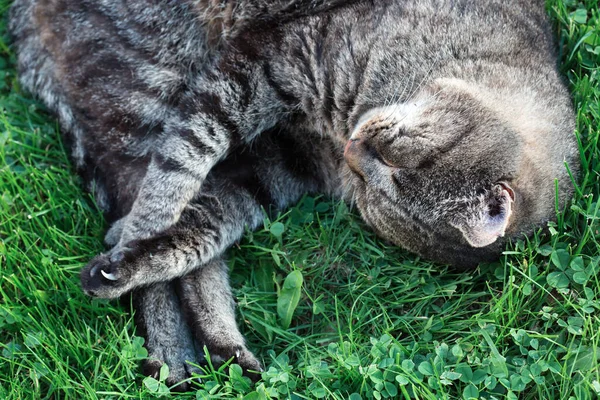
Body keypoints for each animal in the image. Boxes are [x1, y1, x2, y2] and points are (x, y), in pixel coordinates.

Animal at [9, 0, 580, 390]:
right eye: (392, 156)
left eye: (377, 185)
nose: (353, 148)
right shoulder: (273, 58)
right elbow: (187, 154)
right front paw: (151, 220)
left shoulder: (272, 167)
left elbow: (195, 232)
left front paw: (144, 254)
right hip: (145, 88)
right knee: (138, 191)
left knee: (181, 261)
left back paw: (207, 354)